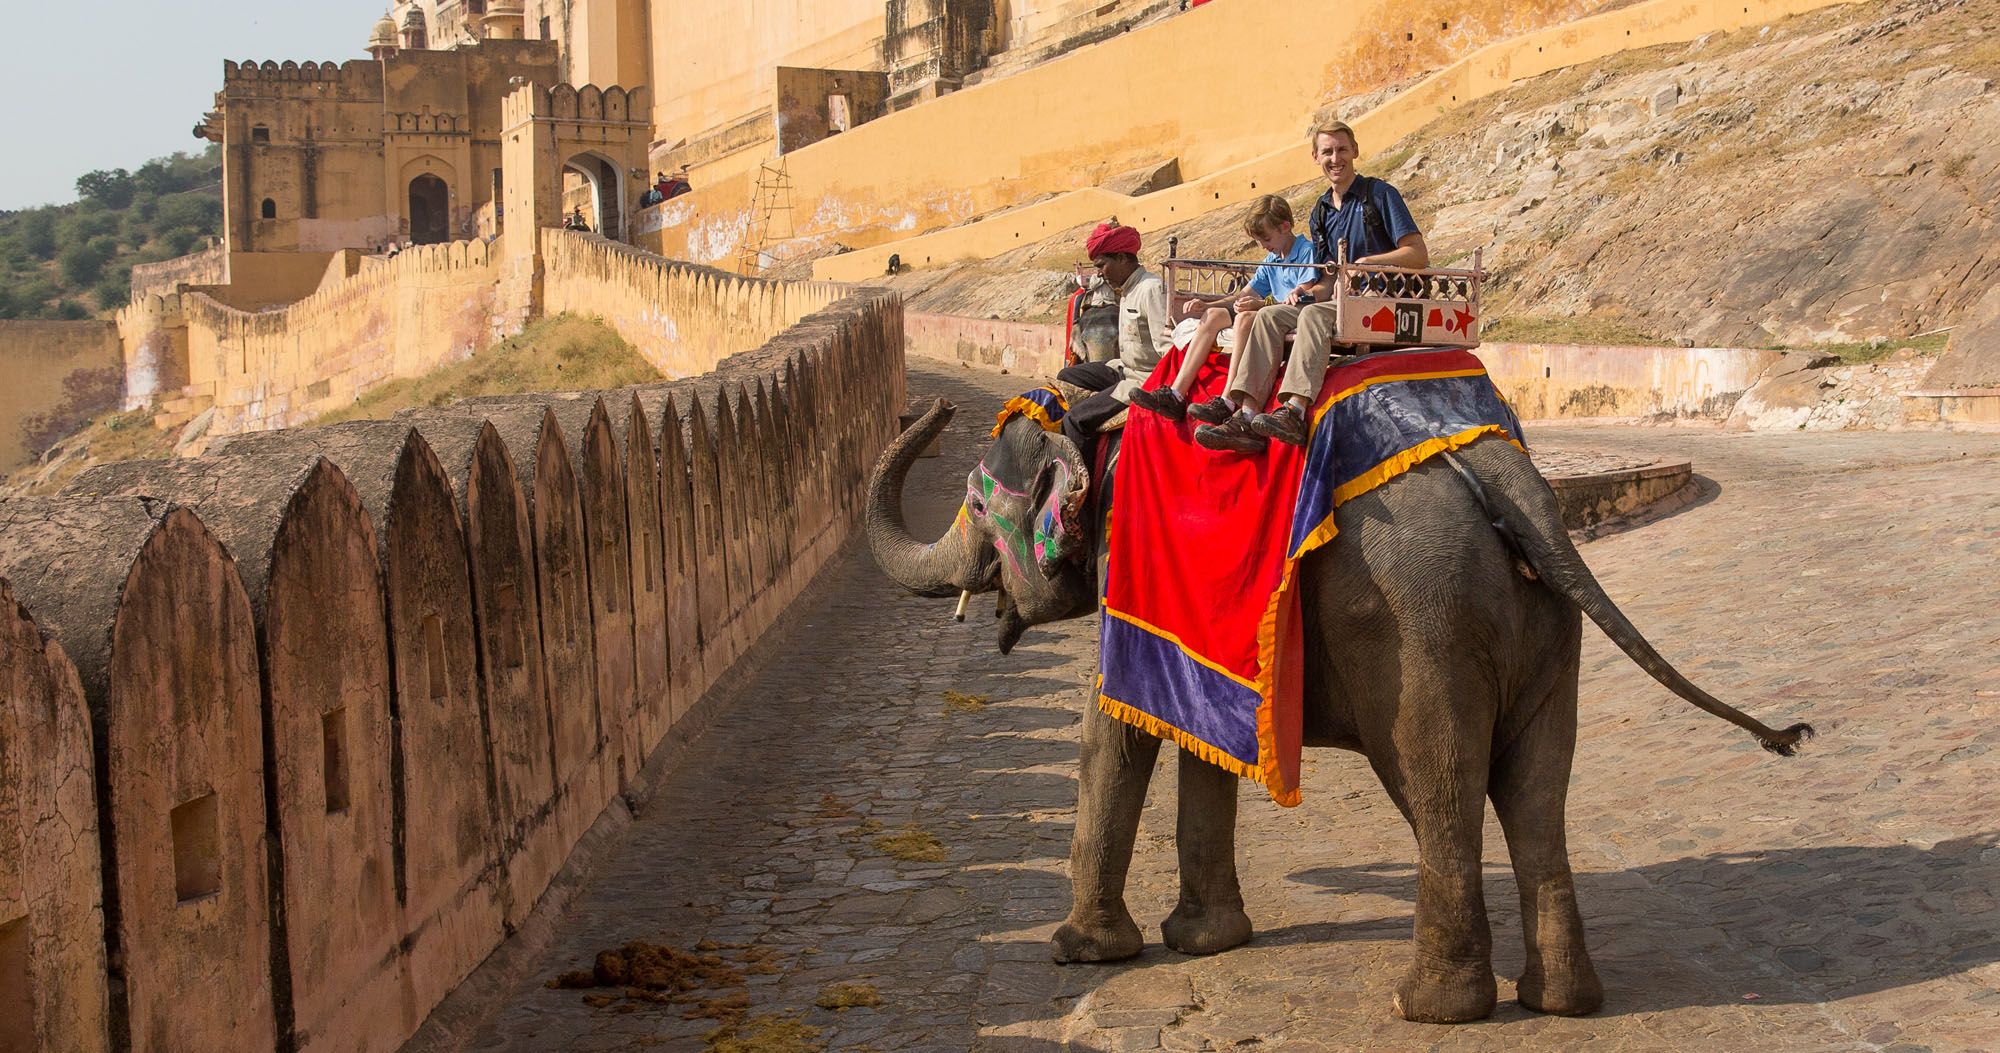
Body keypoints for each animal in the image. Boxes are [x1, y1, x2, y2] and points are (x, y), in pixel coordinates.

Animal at [864, 396, 1816, 1024]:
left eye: (977, 505)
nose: (937, 405)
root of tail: (1510, 480)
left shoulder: (1126, 572)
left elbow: (1118, 730)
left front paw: (1079, 950)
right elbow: (1199, 735)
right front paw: (1206, 940)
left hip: (1420, 630)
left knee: (1440, 786)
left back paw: (1431, 1005)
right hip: (1547, 627)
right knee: (1536, 794)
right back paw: (1562, 1000)